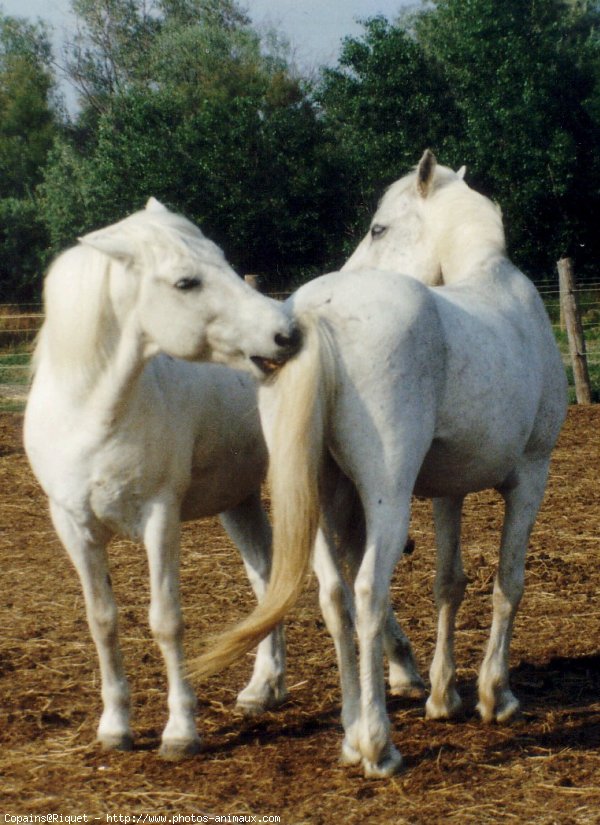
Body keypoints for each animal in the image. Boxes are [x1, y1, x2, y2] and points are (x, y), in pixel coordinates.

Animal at [24, 198, 300, 752]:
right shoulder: (74, 526)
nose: (286, 334)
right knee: (265, 577)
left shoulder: (160, 518)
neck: (89, 413)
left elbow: (166, 622)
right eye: (186, 282)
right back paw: (264, 688)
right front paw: (115, 726)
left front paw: (181, 731)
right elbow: (102, 621)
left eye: (222, 259)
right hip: (238, 501)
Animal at [192, 151, 568, 776]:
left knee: (334, 598)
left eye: (377, 229)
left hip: (323, 499)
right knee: (368, 591)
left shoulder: (448, 491)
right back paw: (377, 744)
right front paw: (496, 695)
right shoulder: (530, 479)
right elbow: (508, 583)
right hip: (386, 498)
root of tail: (313, 316)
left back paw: (351, 735)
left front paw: (443, 696)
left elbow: (449, 583)